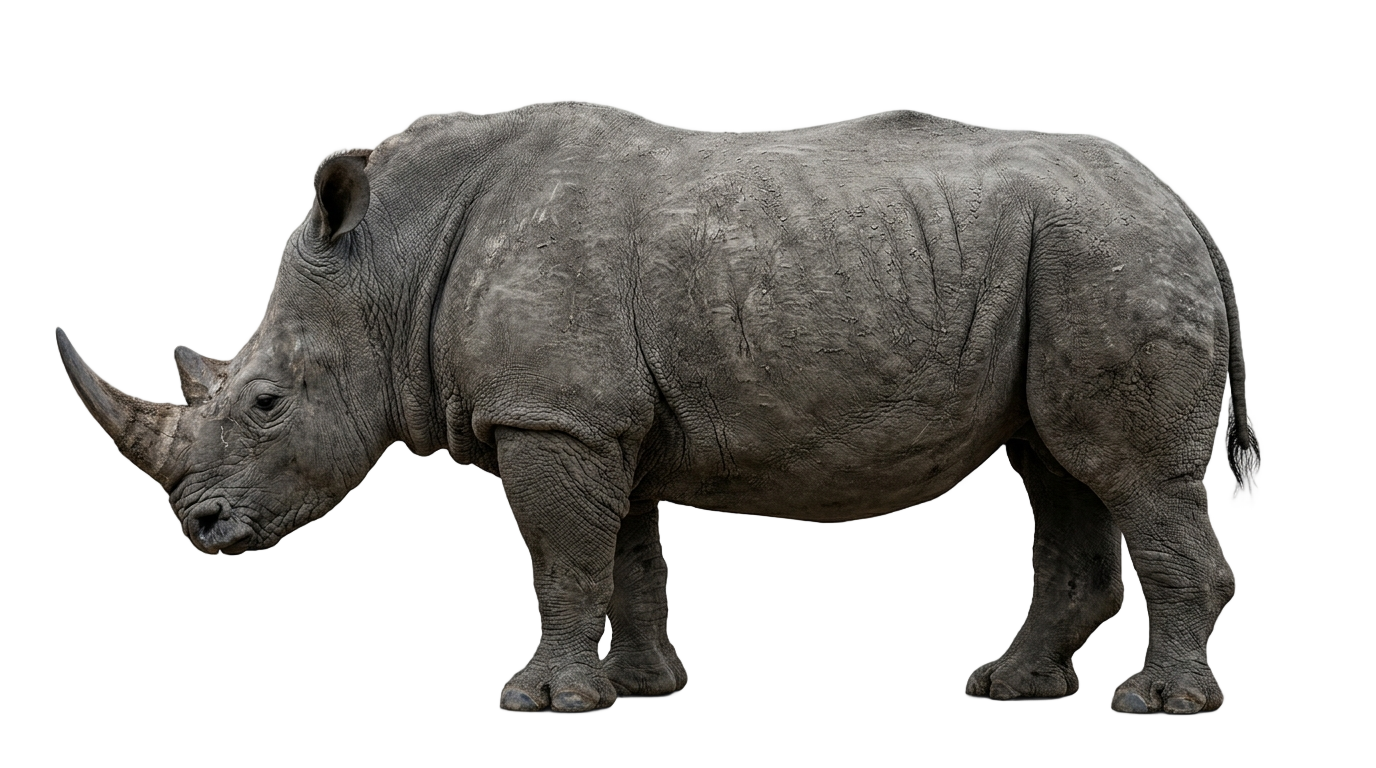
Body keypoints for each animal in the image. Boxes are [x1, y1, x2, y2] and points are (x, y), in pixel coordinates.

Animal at [55, 102, 1256, 715]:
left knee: (1129, 477)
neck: (389, 262)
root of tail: (1179, 204)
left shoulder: (552, 414)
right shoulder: (590, 414)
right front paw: (637, 689)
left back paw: (1160, 710)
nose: (200, 528)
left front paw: (542, 705)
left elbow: (561, 557)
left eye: (263, 402)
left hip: (1108, 256)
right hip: (1076, 257)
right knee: (1060, 469)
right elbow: (617, 556)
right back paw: (1015, 692)